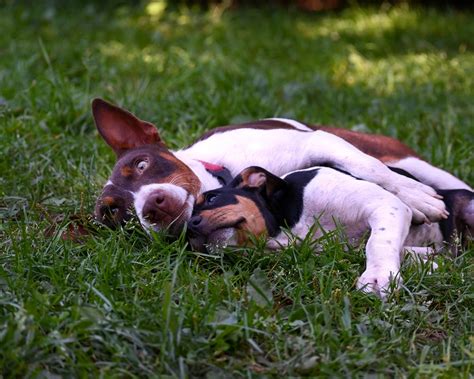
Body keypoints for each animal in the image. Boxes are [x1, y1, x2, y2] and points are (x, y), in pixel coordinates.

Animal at [93, 97, 470, 238]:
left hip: (412, 161)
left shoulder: (320, 143)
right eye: (115, 214)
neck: (225, 174)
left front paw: (417, 198)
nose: (151, 206)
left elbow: (371, 169)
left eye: (142, 163)